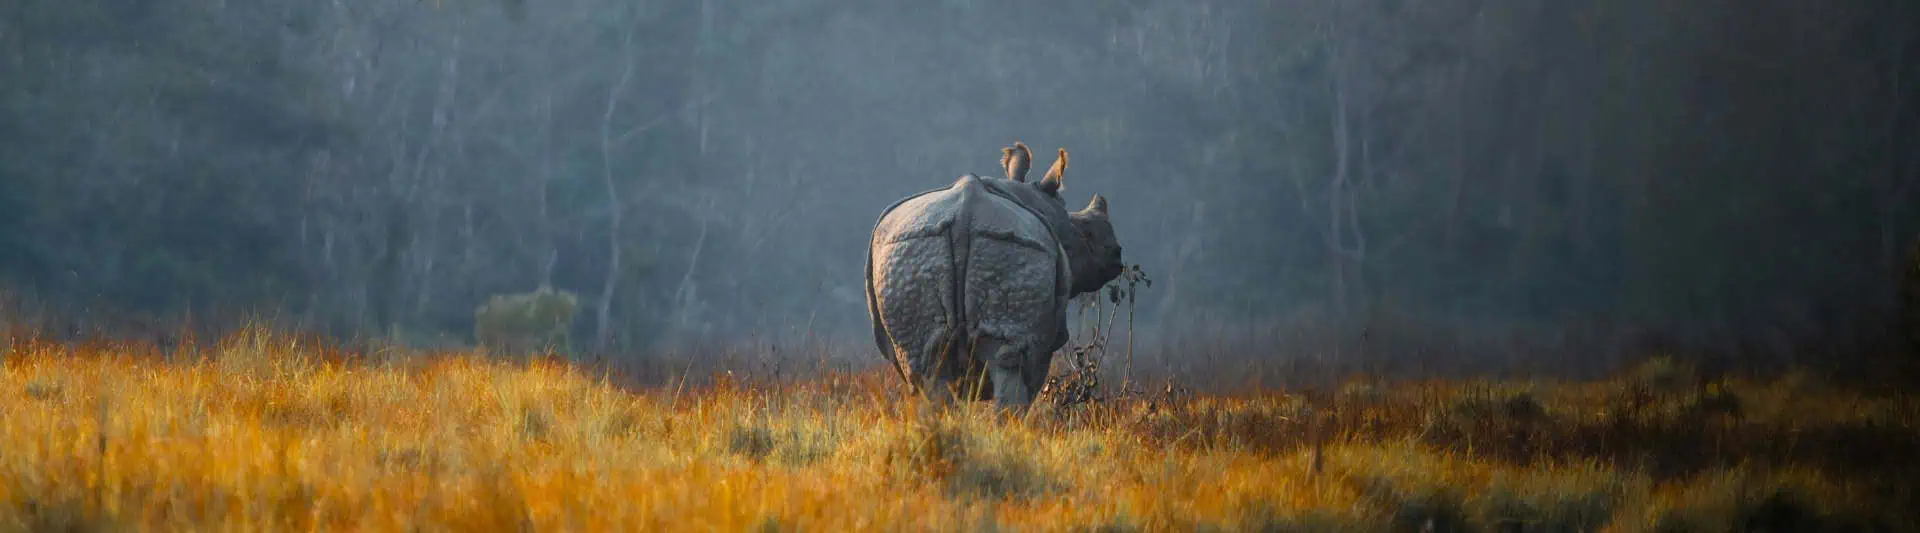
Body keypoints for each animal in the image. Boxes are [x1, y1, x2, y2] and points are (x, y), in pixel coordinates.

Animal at [864, 142, 1126, 410]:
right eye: (1087, 234)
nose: (1117, 256)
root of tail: (964, 216)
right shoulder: (1044, 346)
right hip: (1014, 248)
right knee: (1009, 366)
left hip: (911, 253)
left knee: (927, 368)